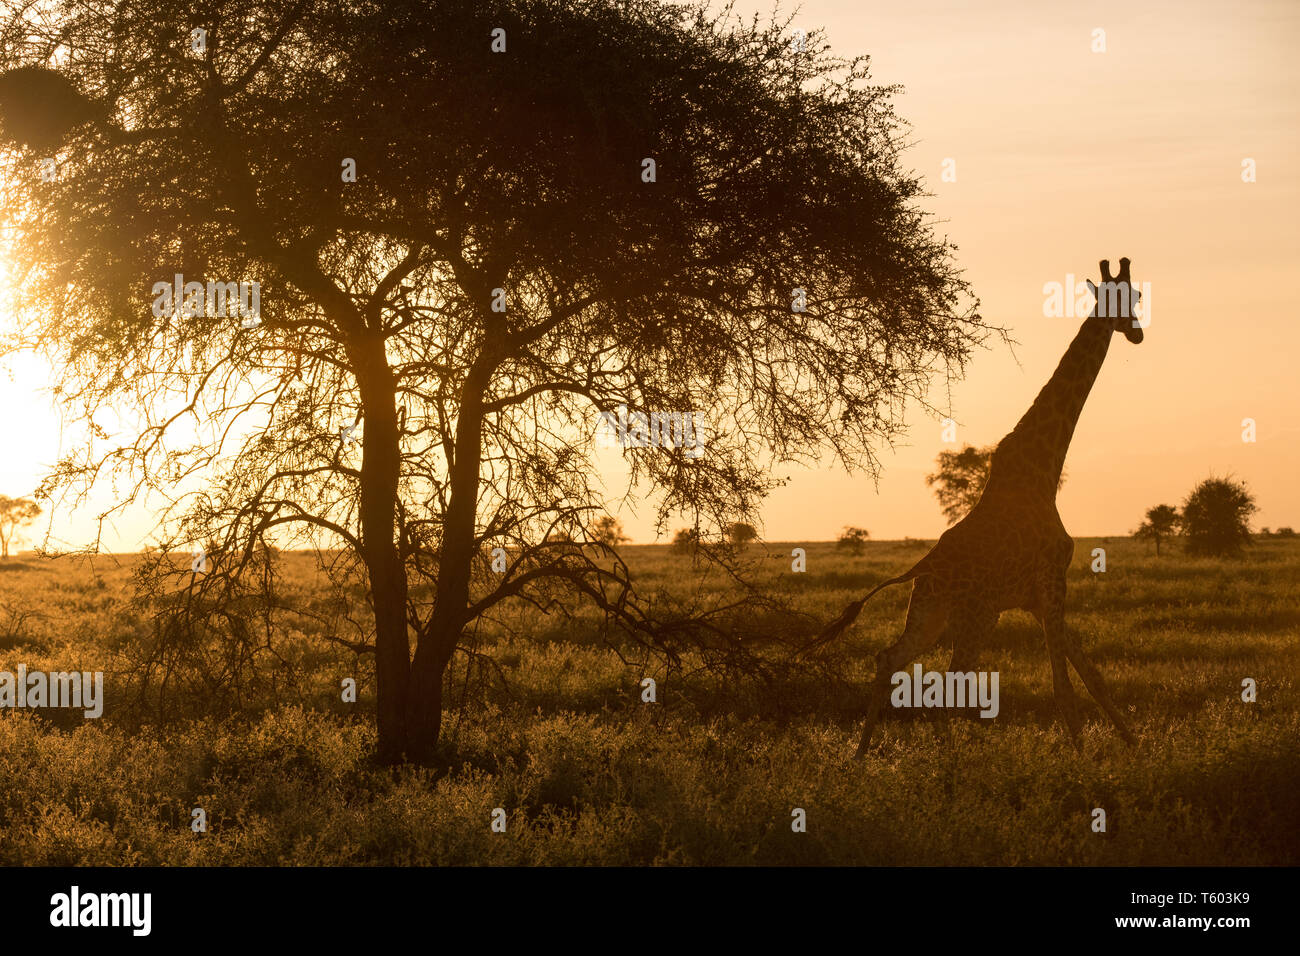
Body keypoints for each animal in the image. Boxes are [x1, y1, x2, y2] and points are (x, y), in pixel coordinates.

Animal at [816, 257, 1144, 759]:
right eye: (1124, 299)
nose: (1137, 333)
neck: (1043, 469)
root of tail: (921, 567)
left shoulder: (1037, 597)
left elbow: (1093, 677)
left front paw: (1135, 746)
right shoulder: (1052, 580)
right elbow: (1064, 686)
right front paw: (1084, 760)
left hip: (931, 612)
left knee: (889, 657)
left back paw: (860, 755)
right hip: (975, 616)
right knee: (944, 684)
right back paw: (948, 763)